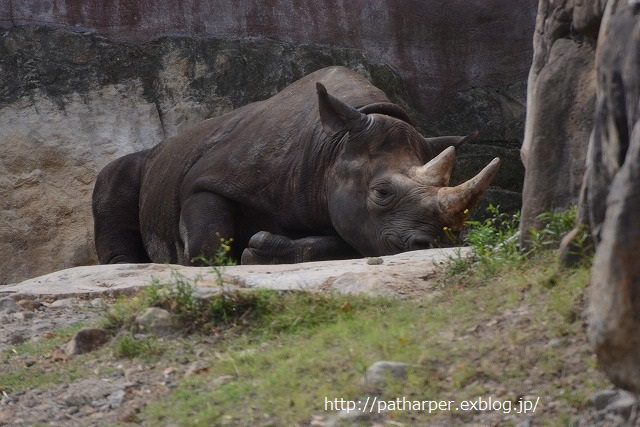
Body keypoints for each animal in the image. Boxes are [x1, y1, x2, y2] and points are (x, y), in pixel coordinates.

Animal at [91, 65, 500, 266]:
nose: (437, 244)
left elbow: (343, 242)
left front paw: (259, 251)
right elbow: (206, 244)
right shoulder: (209, 178)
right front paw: (227, 257)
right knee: (114, 175)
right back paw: (124, 264)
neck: (332, 148)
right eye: (382, 193)